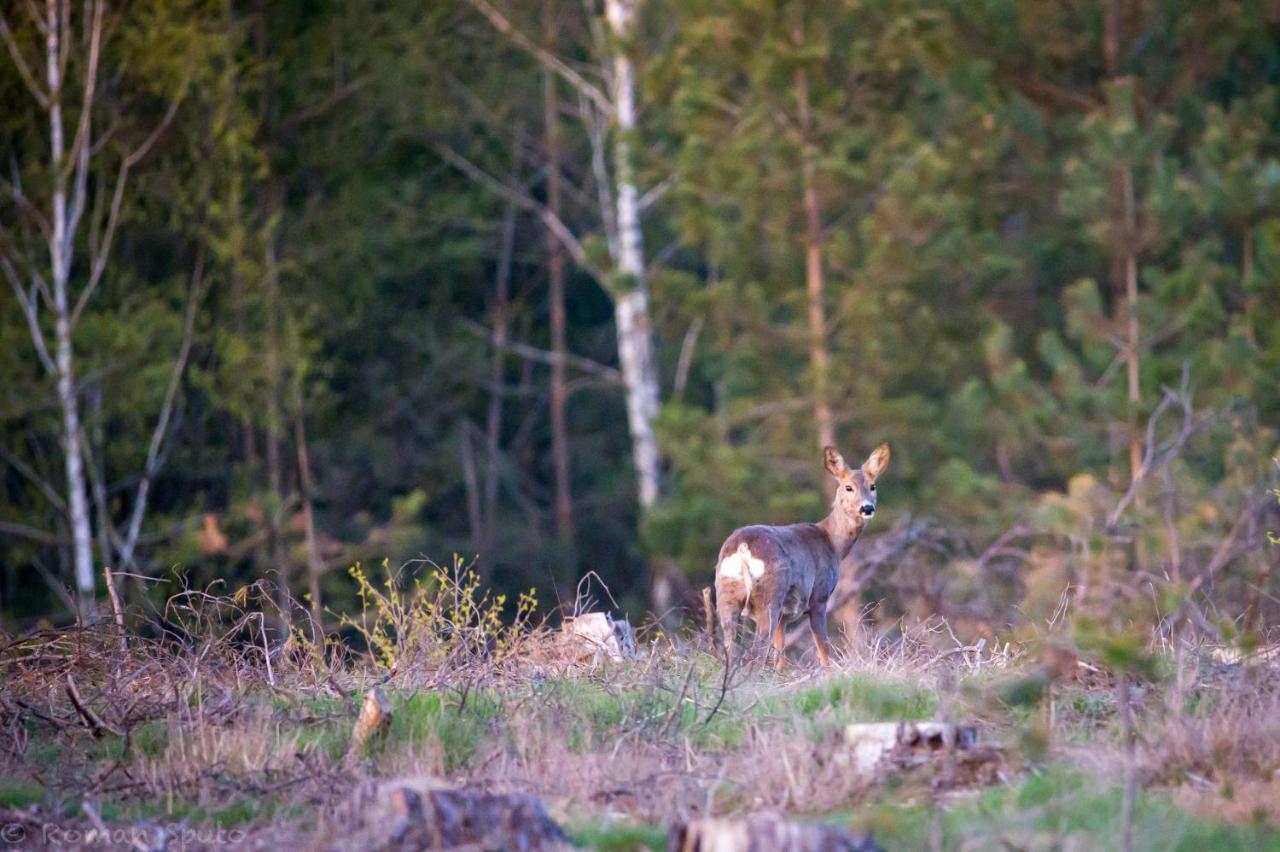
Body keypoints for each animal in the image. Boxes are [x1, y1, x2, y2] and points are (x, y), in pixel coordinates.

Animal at [716, 440, 885, 665]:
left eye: (873, 486)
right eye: (848, 487)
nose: (867, 508)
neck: (832, 542)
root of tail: (743, 548)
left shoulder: (783, 617)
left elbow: (780, 656)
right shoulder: (819, 597)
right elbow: (824, 652)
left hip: (727, 595)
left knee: (730, 647)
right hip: (770, 596)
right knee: (757, 649)